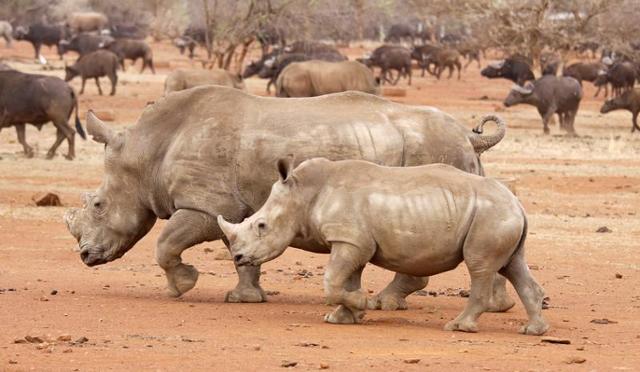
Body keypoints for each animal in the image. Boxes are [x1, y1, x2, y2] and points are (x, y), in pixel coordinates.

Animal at [219, 157, 544, 334]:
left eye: (261, 226)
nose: (238, 256)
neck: (304, 194)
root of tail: (518, 203)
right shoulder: (353, 240)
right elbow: (346, 280)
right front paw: (343, 318)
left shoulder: (349, 240)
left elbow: (332, 281)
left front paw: (364, 303)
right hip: (500, 215)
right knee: (513, 265)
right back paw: (532, 330)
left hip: (490, 215)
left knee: (480, 267)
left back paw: (458, 327)